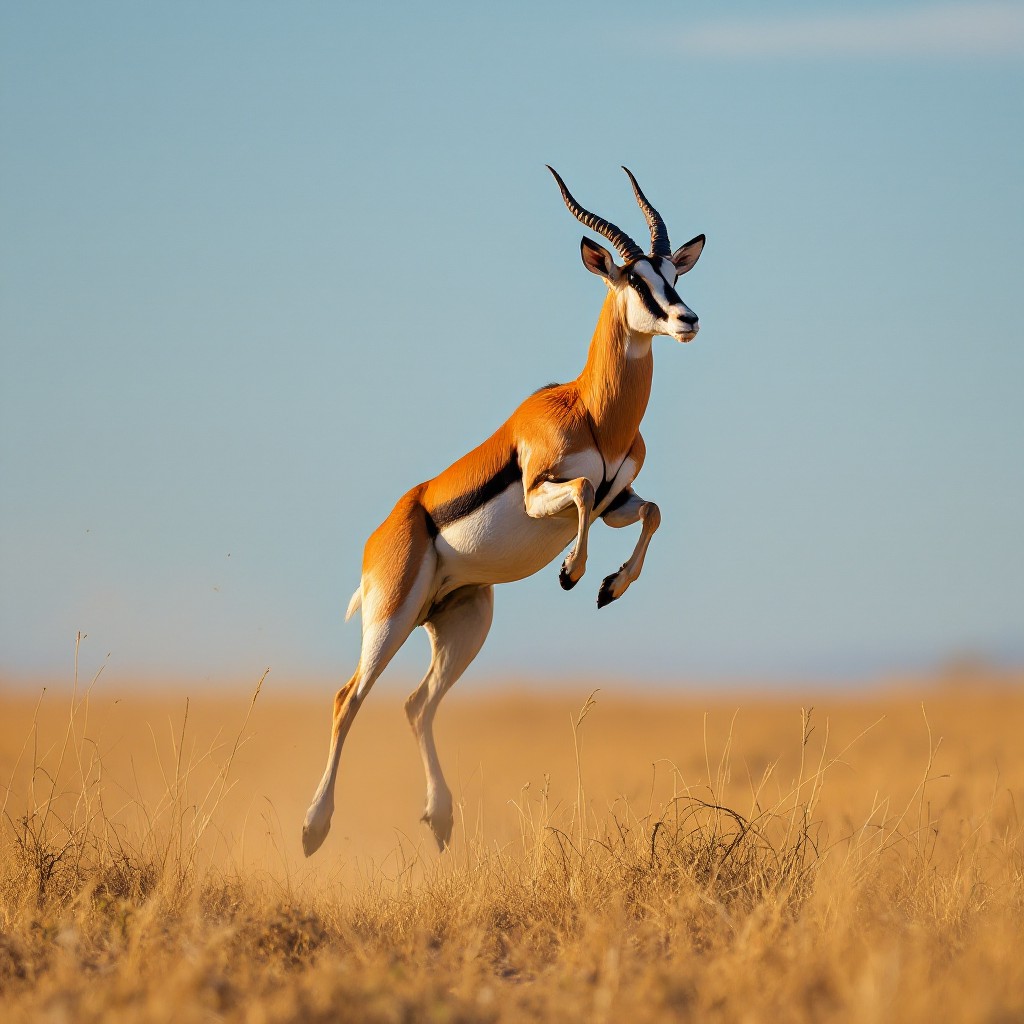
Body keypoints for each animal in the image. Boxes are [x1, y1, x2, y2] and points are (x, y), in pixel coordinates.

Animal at [302, 167, 705, 856]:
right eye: (633, 280)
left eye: (672, 276)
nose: (687, 318)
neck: (592, 410)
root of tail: (386, 529)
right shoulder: (543, 488)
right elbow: (578, 492)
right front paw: (572, 573)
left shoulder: (618, 502)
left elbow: (653, 512)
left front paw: (609, 587)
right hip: (390, 618)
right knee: (346, 698)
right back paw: (314, 827)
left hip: (463, 621)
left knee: (417, 704)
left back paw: (440, 819)